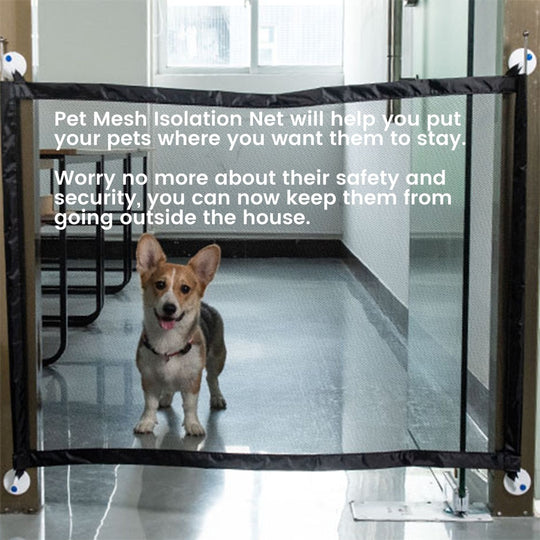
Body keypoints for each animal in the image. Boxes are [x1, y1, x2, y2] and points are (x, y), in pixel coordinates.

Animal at [136, 234, 227, 436]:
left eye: (185, 288)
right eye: (160, 284)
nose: (170, 308)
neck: (168, 342)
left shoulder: (192, 381)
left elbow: (190, 405)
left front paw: (193, 425)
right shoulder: (148, 379)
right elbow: (149, 404)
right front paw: (146, 422)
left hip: (217, 358)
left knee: (212, 379)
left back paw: (217, 397)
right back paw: (166, 398)